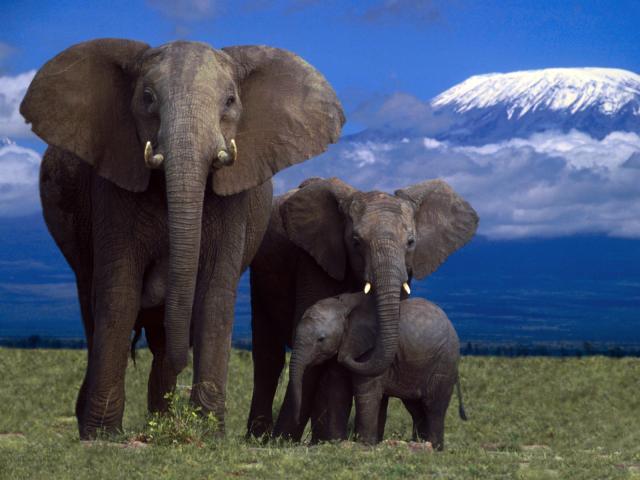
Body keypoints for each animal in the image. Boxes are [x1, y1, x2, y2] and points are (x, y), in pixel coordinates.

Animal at [21, 40, 344, 438]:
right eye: (147, 98)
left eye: (230, 101)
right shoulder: (114, 182)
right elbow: (119, 291)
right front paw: (101, 435)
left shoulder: (233, 198)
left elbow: (214, 295)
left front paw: (206, 433)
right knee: (92, 307)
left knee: (160, 338)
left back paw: (161, 421)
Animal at [288, 292, 464, 450]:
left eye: (321, 339)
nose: (296, 421)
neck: (343, 306)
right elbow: (338, 390)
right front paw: (338, 443)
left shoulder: (368, 350)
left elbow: (366, 392)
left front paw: (364, 445)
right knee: (416, 408)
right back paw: (418, 443)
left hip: (444, 363)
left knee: (433, 406)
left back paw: (434, 447)